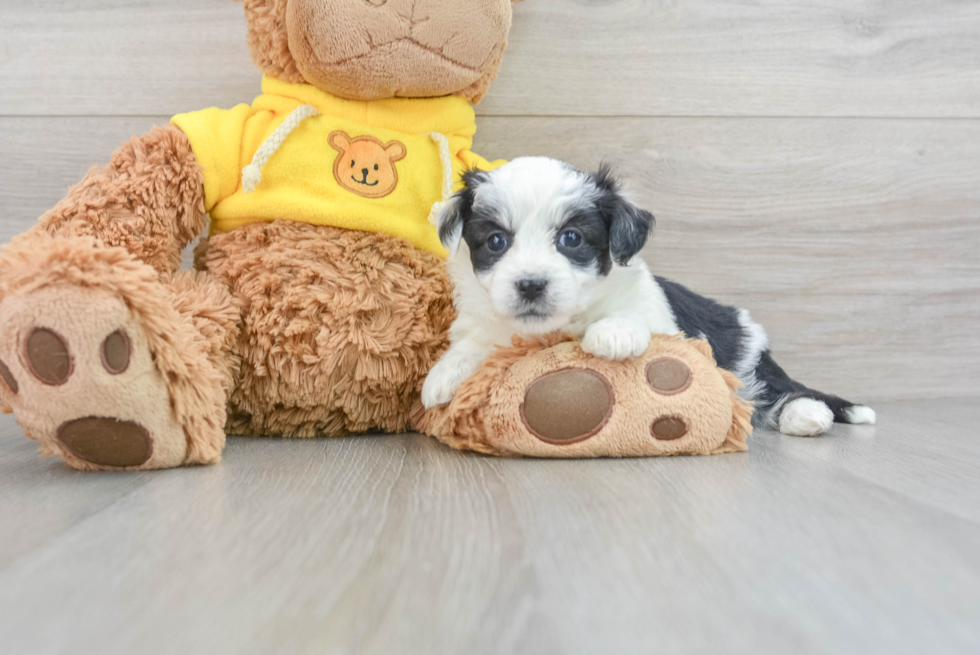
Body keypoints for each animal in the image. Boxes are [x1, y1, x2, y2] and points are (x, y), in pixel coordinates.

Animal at [420, 156, 872, 438]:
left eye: (571, 239)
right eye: (496, 241)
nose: (531, 284)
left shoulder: (653, 311)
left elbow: (632, 314)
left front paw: (613, 334)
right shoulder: (487, 320)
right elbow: (475, 341)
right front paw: (443, 375)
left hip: (748, 359)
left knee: (774, 391)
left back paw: (807, 414)